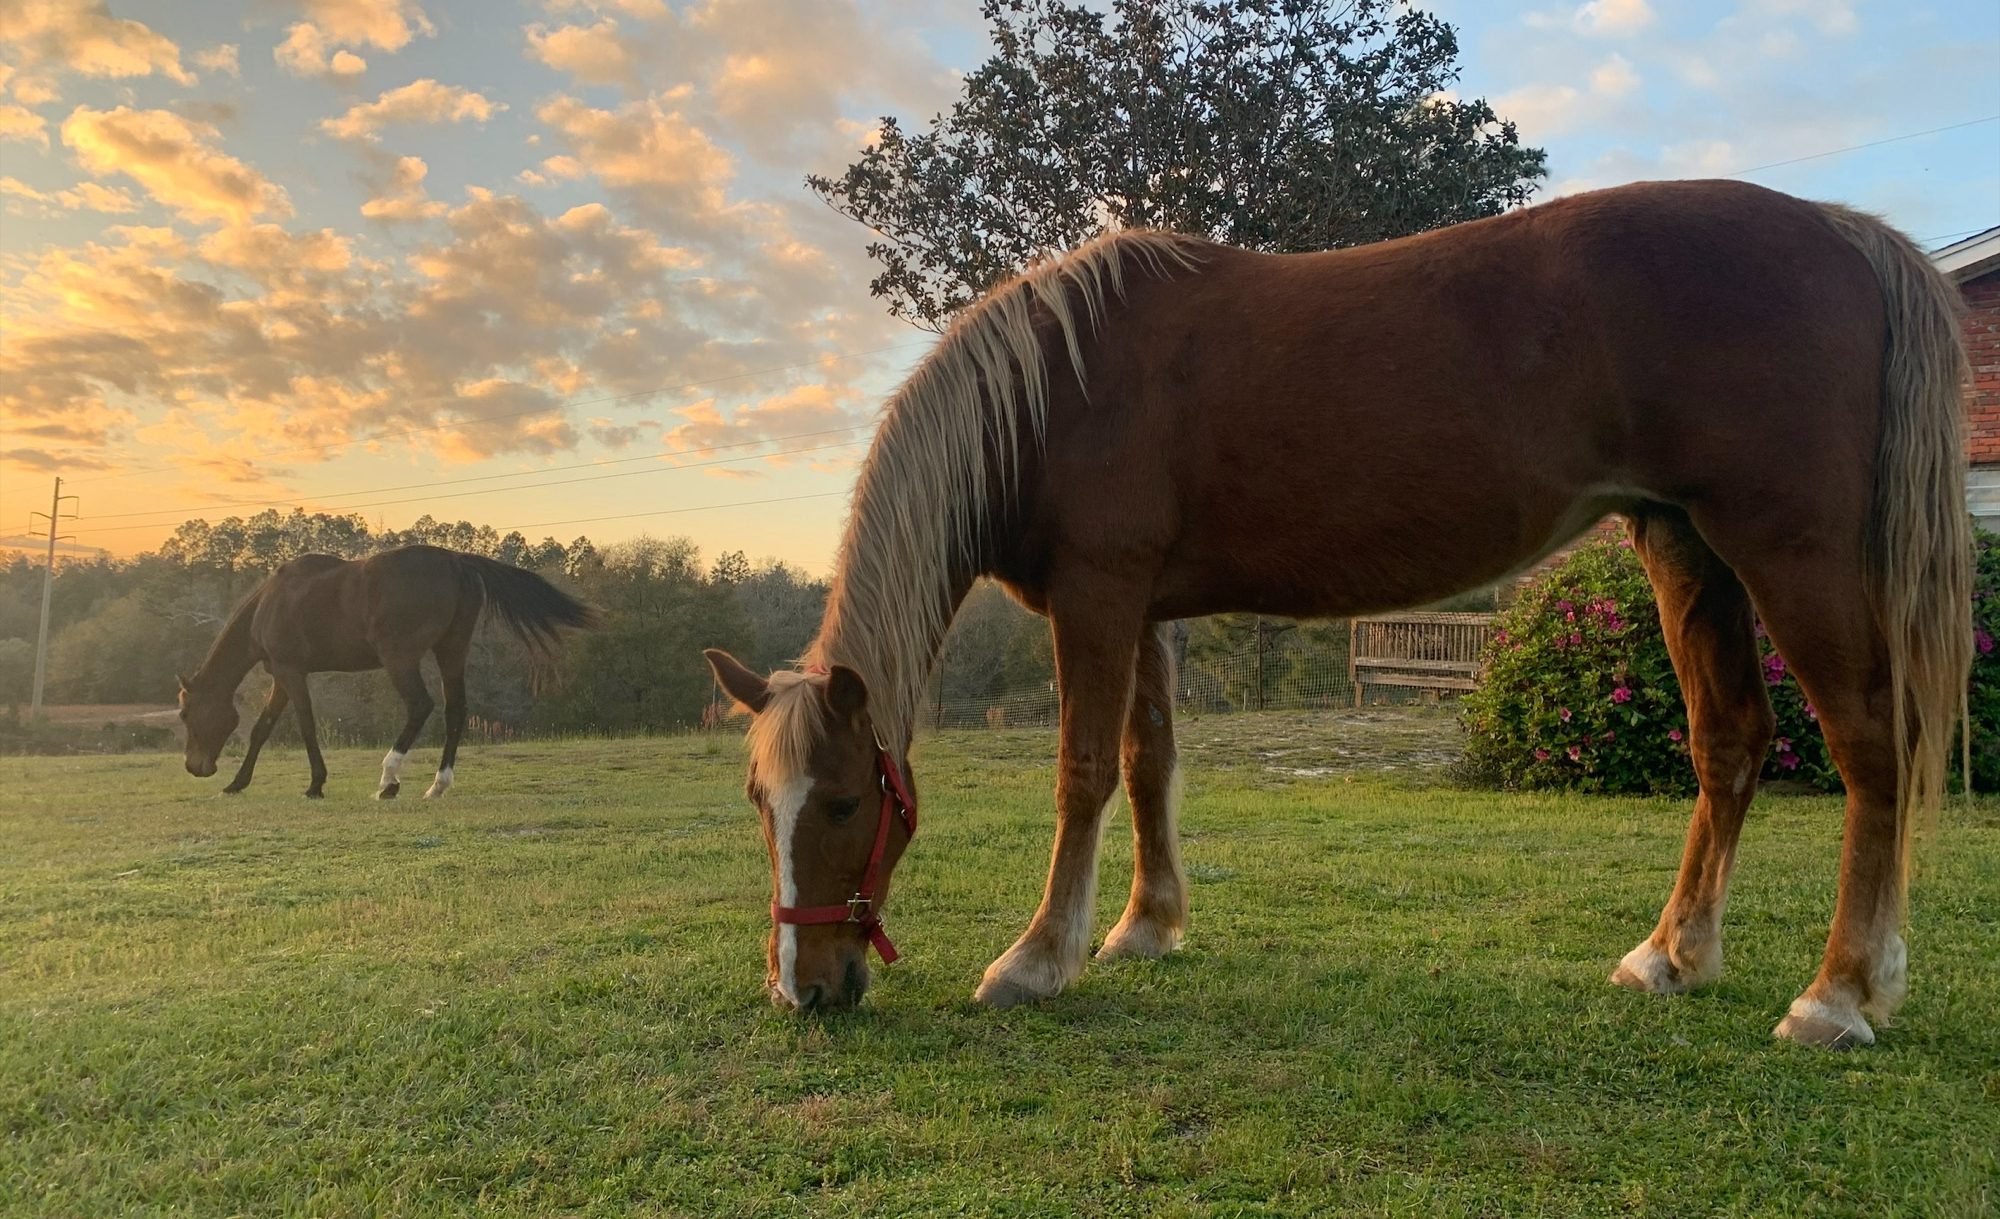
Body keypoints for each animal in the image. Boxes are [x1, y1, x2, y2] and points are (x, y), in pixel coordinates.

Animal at [180, 543, 592, 799]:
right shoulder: (284, 675)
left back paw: (388, 780)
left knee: (420, 706)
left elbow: (306, 727)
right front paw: (237, 783)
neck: (270, 602)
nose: (194, 767)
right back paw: (437, 785)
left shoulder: (290, 672)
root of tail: (455, 562)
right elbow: (262, 729)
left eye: (185, 714)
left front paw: (315, 784)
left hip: (400, 659)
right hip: (451, 651)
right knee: (455, 709)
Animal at [700, 179, 1968, 1047]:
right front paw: (1146, 925)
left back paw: (1836, 995)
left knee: (1867, 746)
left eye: (850, 800)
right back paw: (1671, 956)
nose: (801, 990)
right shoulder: (1139, 604)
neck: (1053, 385)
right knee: (1728, 743)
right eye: (761, 803)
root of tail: (1838, 232)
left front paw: (1036, 959)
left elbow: (1082, 770)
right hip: (1680, 545)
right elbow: (1148, 761)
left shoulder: (1098, 593)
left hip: (1788, 552)